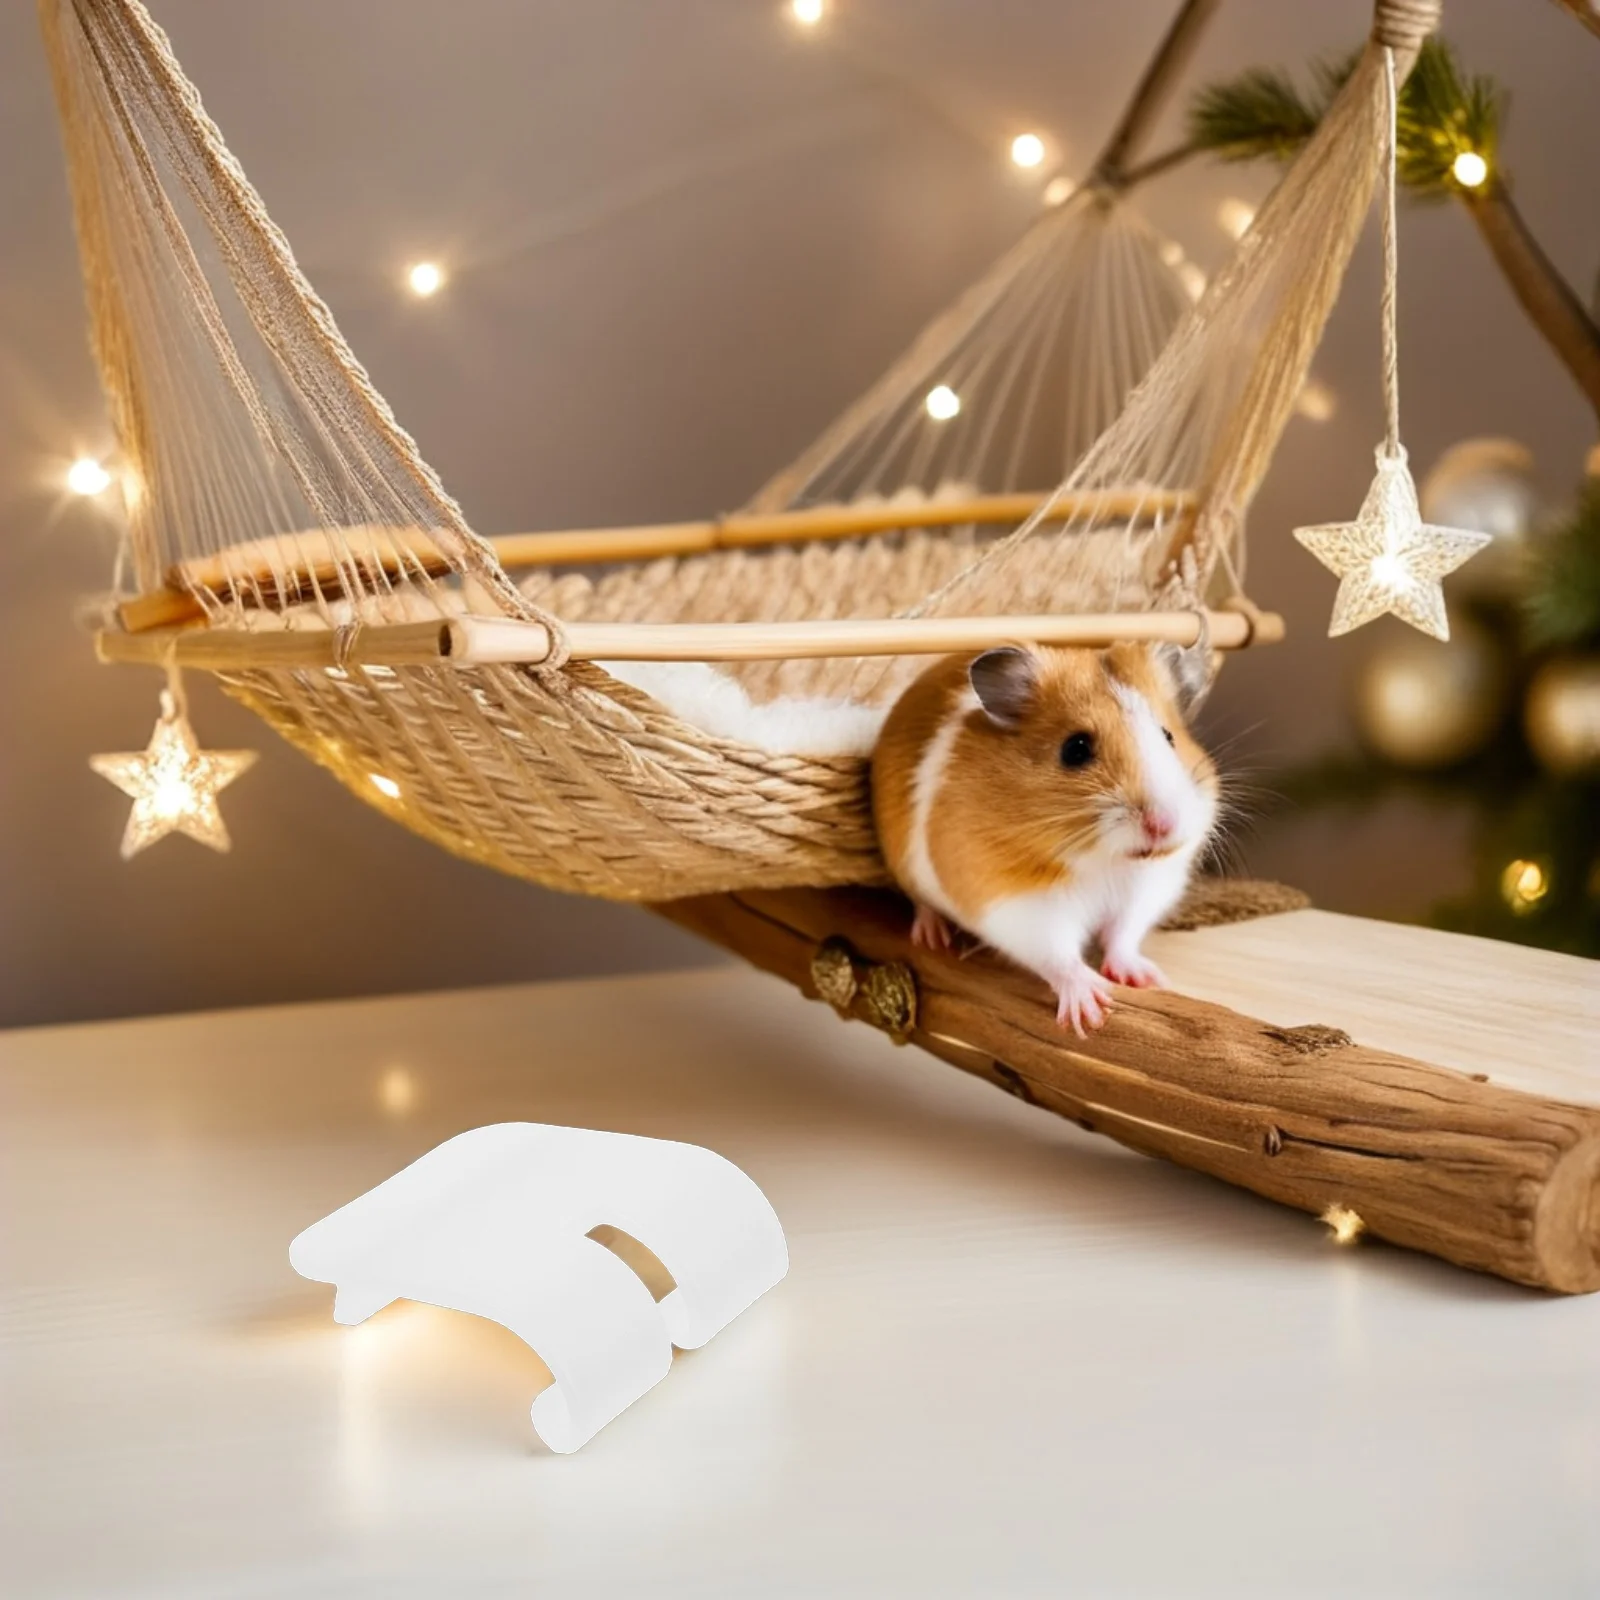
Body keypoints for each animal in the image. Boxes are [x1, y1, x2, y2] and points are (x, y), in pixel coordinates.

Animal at [871, 642, 1219, 1036]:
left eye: (1169, 736)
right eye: (1075, 749)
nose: (1164, 824)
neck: (1105, 862)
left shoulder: (1145, 892)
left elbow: (1123, 936)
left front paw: (1147, 978)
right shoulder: (1018, 906)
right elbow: (1058, 955)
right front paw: (1091, 1011)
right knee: (922, 906)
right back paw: (933, 938)